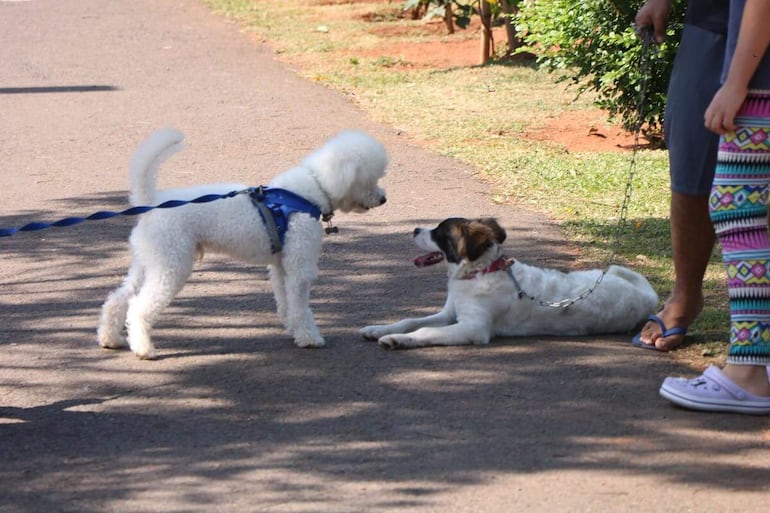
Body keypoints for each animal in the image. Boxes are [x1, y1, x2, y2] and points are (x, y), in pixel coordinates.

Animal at [97, 128, 384, 358]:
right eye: (371, 178)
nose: (383, 199)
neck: (310, 190)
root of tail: (151, 202)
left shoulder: (281, 266)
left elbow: (286, 301)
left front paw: (292, 328)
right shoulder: (300, 266)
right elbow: (300, 306)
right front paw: (309, 337)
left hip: (148, 262)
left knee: (118, 298)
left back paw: (110, 338)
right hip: (170, 265)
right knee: (138, 307)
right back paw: (144, 349)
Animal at [358, 216, 656, 348]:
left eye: (439, 234)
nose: (415, 229)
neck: (480, 272)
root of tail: (646, 294)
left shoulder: (473, 328)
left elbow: (424, 331)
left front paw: (397, 340)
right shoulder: (450, 313)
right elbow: (411, 320)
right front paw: (379, 328)